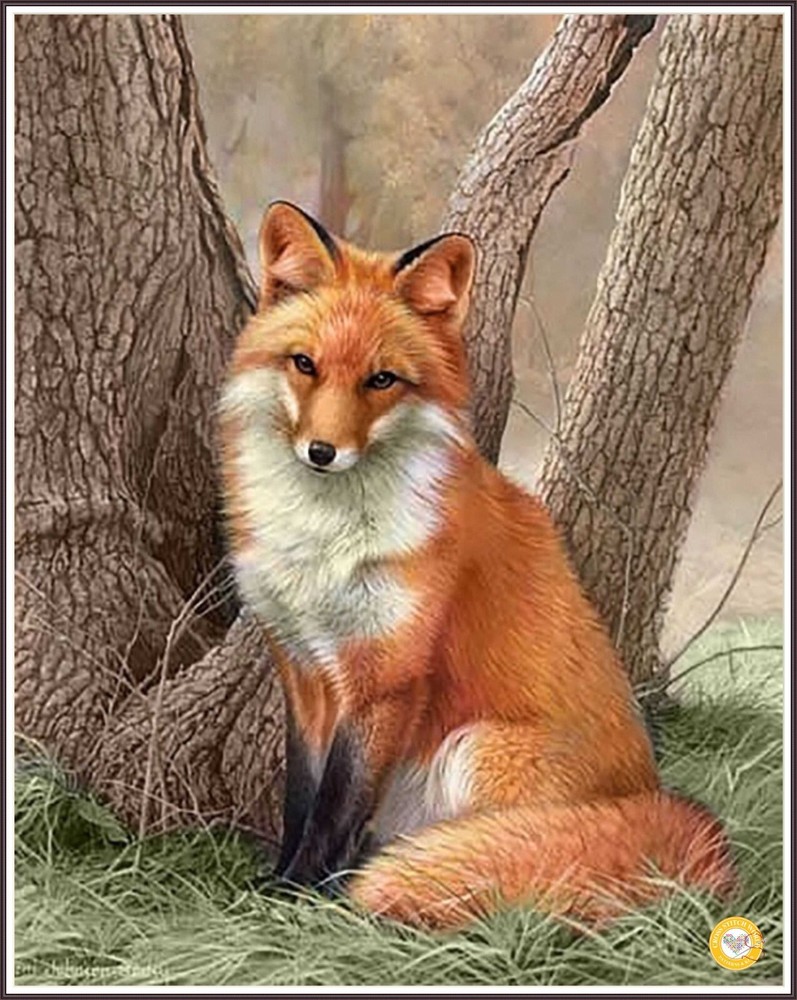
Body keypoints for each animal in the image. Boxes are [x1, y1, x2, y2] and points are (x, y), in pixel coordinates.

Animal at [218, 201, 737, 931]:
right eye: (304, 364)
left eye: (382, 379)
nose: (321, 451)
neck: (324, 544)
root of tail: (654, 800)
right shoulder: (302, 669)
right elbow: (302, 798)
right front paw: (279, 879)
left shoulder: (385, 678)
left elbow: (337, 806)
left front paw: (299, 896)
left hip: (475, 751)